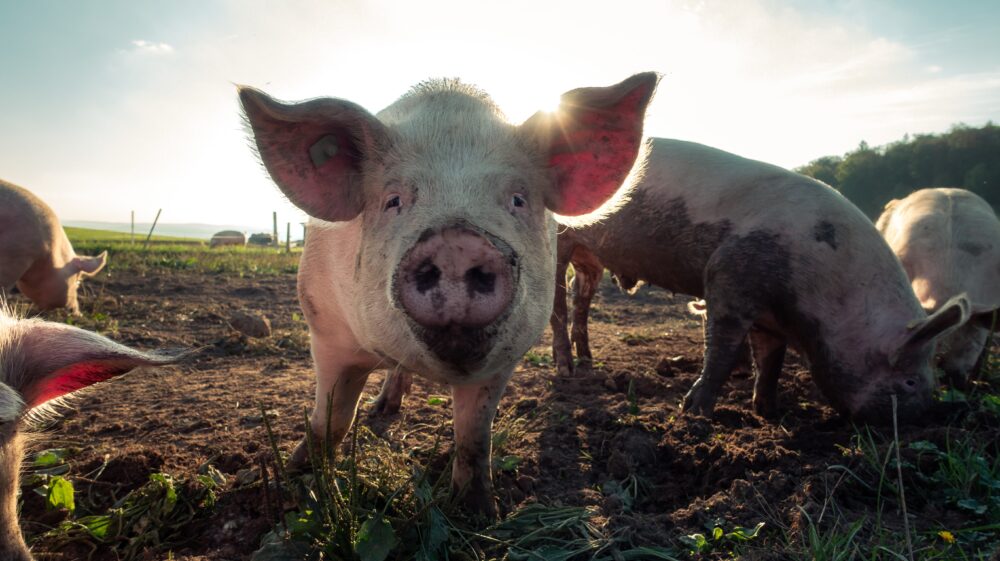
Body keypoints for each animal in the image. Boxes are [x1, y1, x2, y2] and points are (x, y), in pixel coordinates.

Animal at [239, 73, 658, 515]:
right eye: (393, 200)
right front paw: (297, 480)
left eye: (517, 199)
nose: (457, 242)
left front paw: (478, 513)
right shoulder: (325, 328)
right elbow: (331, 419)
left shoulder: (505, 358)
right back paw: (381, 409)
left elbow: (474, 436)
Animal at [548, 138, 971, 422]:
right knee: (556, 304)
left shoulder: (772, 318)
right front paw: (694, 414)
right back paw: (566, 370)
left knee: (580, 298)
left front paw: (769, 411)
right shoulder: (728, 278)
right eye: (910, 381)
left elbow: (771, 360)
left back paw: (588, 363)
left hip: (591, 259)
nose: (925, 420)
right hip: (559, 242)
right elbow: (721, 349)